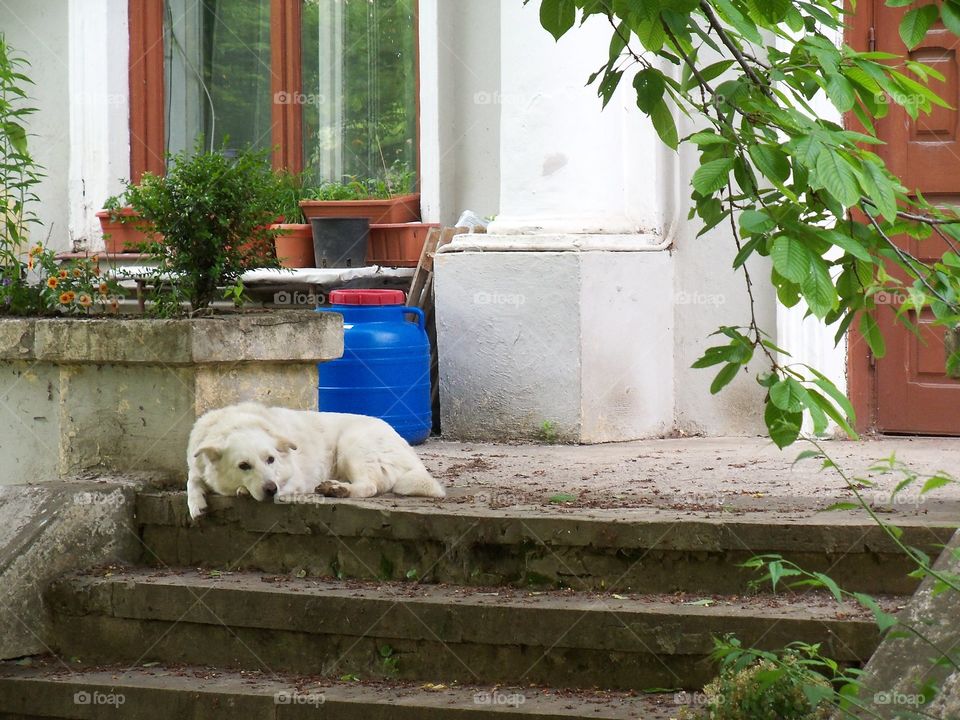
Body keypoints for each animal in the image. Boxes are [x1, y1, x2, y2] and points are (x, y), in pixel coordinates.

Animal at [188, 402, 446, 520]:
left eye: (270, 459)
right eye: (244, 466)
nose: (271, 489)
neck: (238, 423)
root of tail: (411, 453)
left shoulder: (294, 480)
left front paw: (242, 490)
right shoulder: (196, 466)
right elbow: (193, 481)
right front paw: (196, 504)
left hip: (352, 444)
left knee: (369, 486)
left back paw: (338, 489)